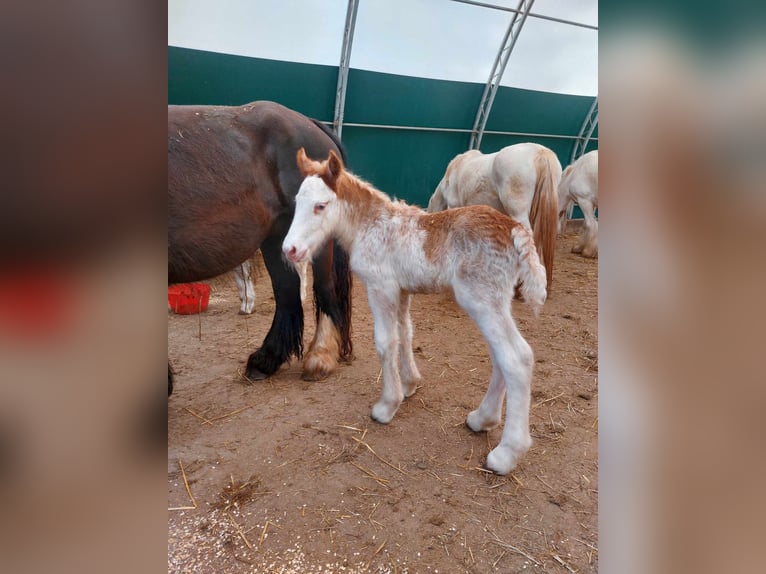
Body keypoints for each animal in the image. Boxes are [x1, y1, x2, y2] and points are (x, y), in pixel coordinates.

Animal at [168, 101, 354, 394]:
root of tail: (313, 125)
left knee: (325, 289)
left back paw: (319, 358)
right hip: (277, 239)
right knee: (288, 293)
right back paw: (266, 361)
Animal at [284, 148, 548, 476]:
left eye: (321, 205)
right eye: (297, 202)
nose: (290, 250)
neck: (371, 226)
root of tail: (514, 228)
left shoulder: (381, 287)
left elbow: (386, 342)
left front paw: (387, 405)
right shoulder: (402, 290)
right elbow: (405, 333)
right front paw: (409, 384)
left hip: (480, 299)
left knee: (516, 357)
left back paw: (506, 453)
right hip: (496, 302)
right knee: (501, 355)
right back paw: (481, 419)